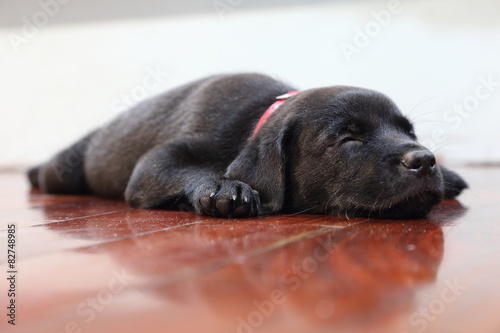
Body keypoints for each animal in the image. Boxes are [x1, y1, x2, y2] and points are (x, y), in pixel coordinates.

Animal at [28, 72, 468, 218]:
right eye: (348, 138)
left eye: (409, 132)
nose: (424, 160)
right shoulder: (158, 161)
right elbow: (192, 169)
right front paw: (223, 188)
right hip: (64, 172)